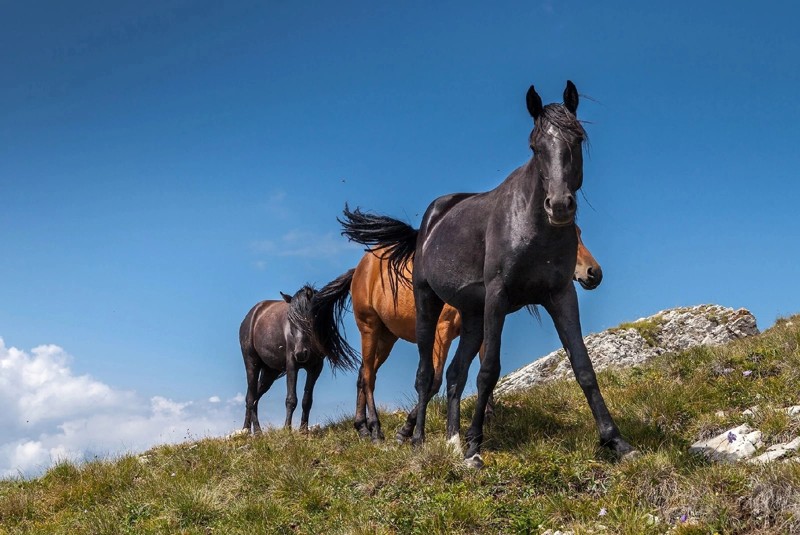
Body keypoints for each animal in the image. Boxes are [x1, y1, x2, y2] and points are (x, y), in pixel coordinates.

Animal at [239, 272, 358, 436]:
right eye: (291, 320)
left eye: (311, 318)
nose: (301, 353)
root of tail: (251, 315)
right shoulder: (292, 365)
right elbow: (291, 399)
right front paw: (287, 429)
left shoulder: (315, 368)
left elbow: (307, 400)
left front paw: (303, 430)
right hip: (252, 363)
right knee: (251, 397)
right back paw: (253, 432)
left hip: (270, 372)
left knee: (254, 396)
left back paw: (250, 431)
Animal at [350, 224, 600, 442]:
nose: (594, 272)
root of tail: (361, 267)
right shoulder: (443, 330)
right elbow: (436, 380)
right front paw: (407, 430)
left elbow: (481, 368)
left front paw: (487, 416)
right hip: (369, 327)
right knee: (369, 376)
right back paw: (375, 430)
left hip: (387, 337)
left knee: (364, 372)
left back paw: (361, 427)